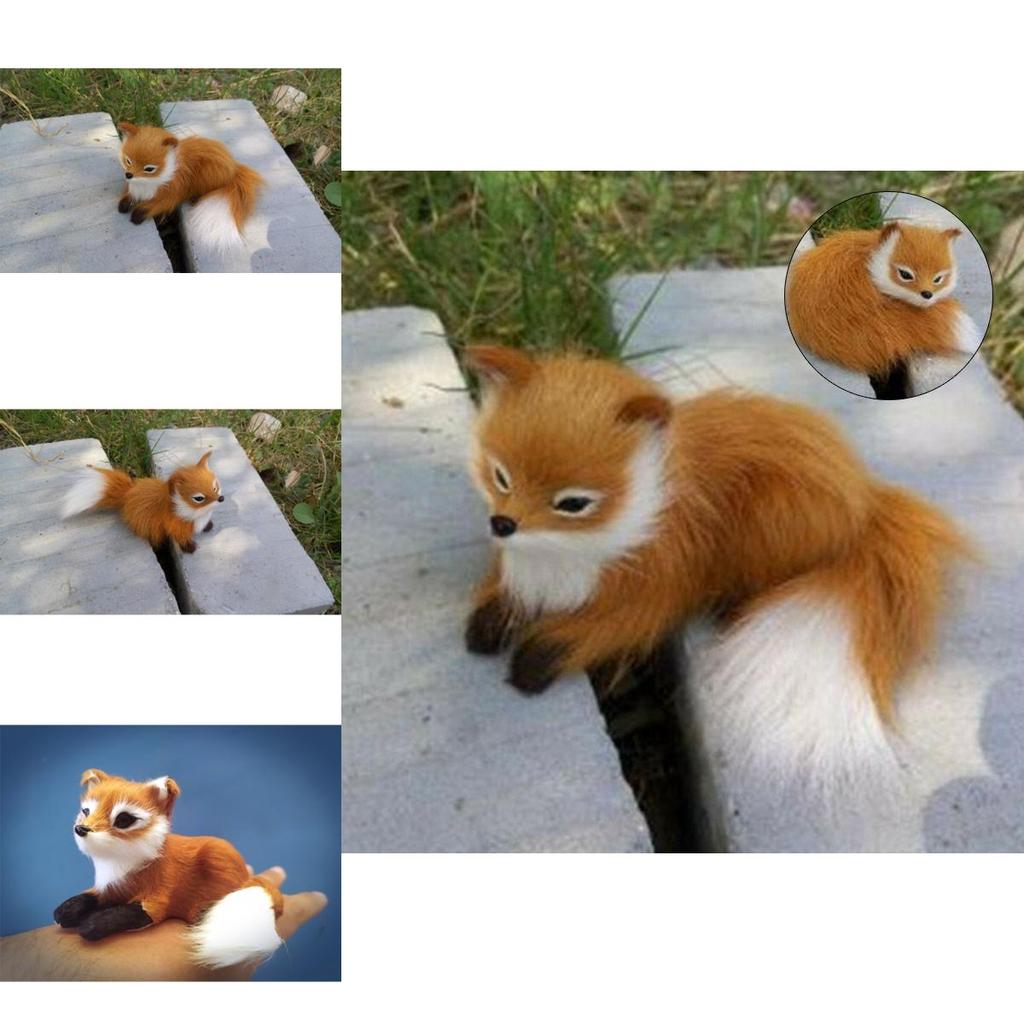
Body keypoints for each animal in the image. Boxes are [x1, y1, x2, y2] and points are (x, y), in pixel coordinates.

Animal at [53, 770, 283, 968]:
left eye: (123, 819)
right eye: (86, 811)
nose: (81, 829)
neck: (121, 867)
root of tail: (247, 876)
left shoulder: (156, 901)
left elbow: (120, 914)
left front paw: (92, 923)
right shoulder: (110, 889)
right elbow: (88, 898)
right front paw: (68, 909)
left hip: (217, 860)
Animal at [61, 451, 223, 553]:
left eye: (215, 487)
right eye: (199, 498)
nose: (221, 499)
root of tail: (127, 494)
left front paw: (208, 526)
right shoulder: (176, 526)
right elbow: (181, 538)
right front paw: (190, 548)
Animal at [116, 122, 263, 251]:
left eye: (149, 169)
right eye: (128, 161)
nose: (128, 174)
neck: (148, 182)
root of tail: (234, 171)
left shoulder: (171, 193)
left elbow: (155, 206)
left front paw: (137, 215)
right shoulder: (134, 187)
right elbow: (128, 196)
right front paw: (124, 204)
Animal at [463, 346, 969, 790]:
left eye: (573, 504)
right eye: (501, 477)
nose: (503, 523)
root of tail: (865, 503)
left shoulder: (656, 582)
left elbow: (600, 629)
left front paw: (532, 662)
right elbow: (503, 595)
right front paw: (487, 625)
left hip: (770, 526)